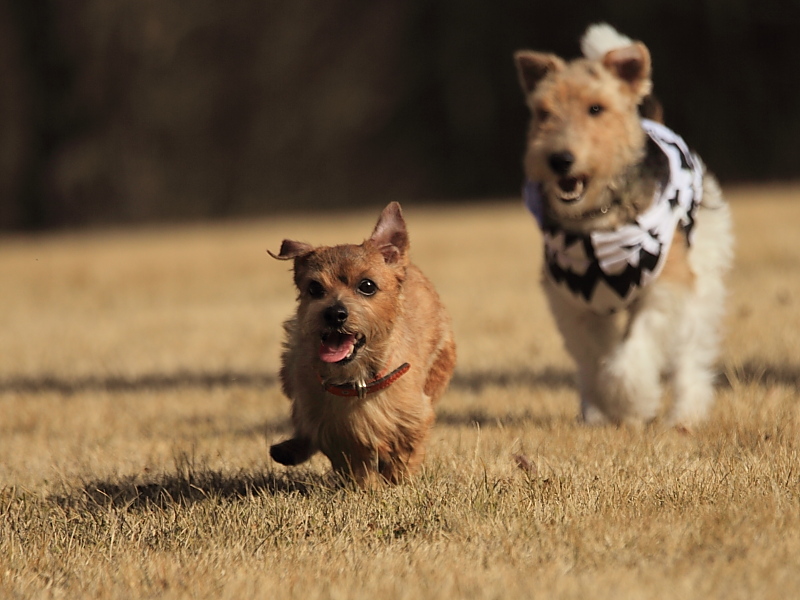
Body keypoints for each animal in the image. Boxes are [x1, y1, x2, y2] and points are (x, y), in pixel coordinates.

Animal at [268, 203, 456, 488]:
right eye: (314, 288)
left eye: (367, 286)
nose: (335, 313)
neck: (356, 379)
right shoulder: (330, 425)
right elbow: (353, 459)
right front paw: (367, 486)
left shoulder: (414, 415)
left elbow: (405, 452)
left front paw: (395, 481)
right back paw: (289, 449)